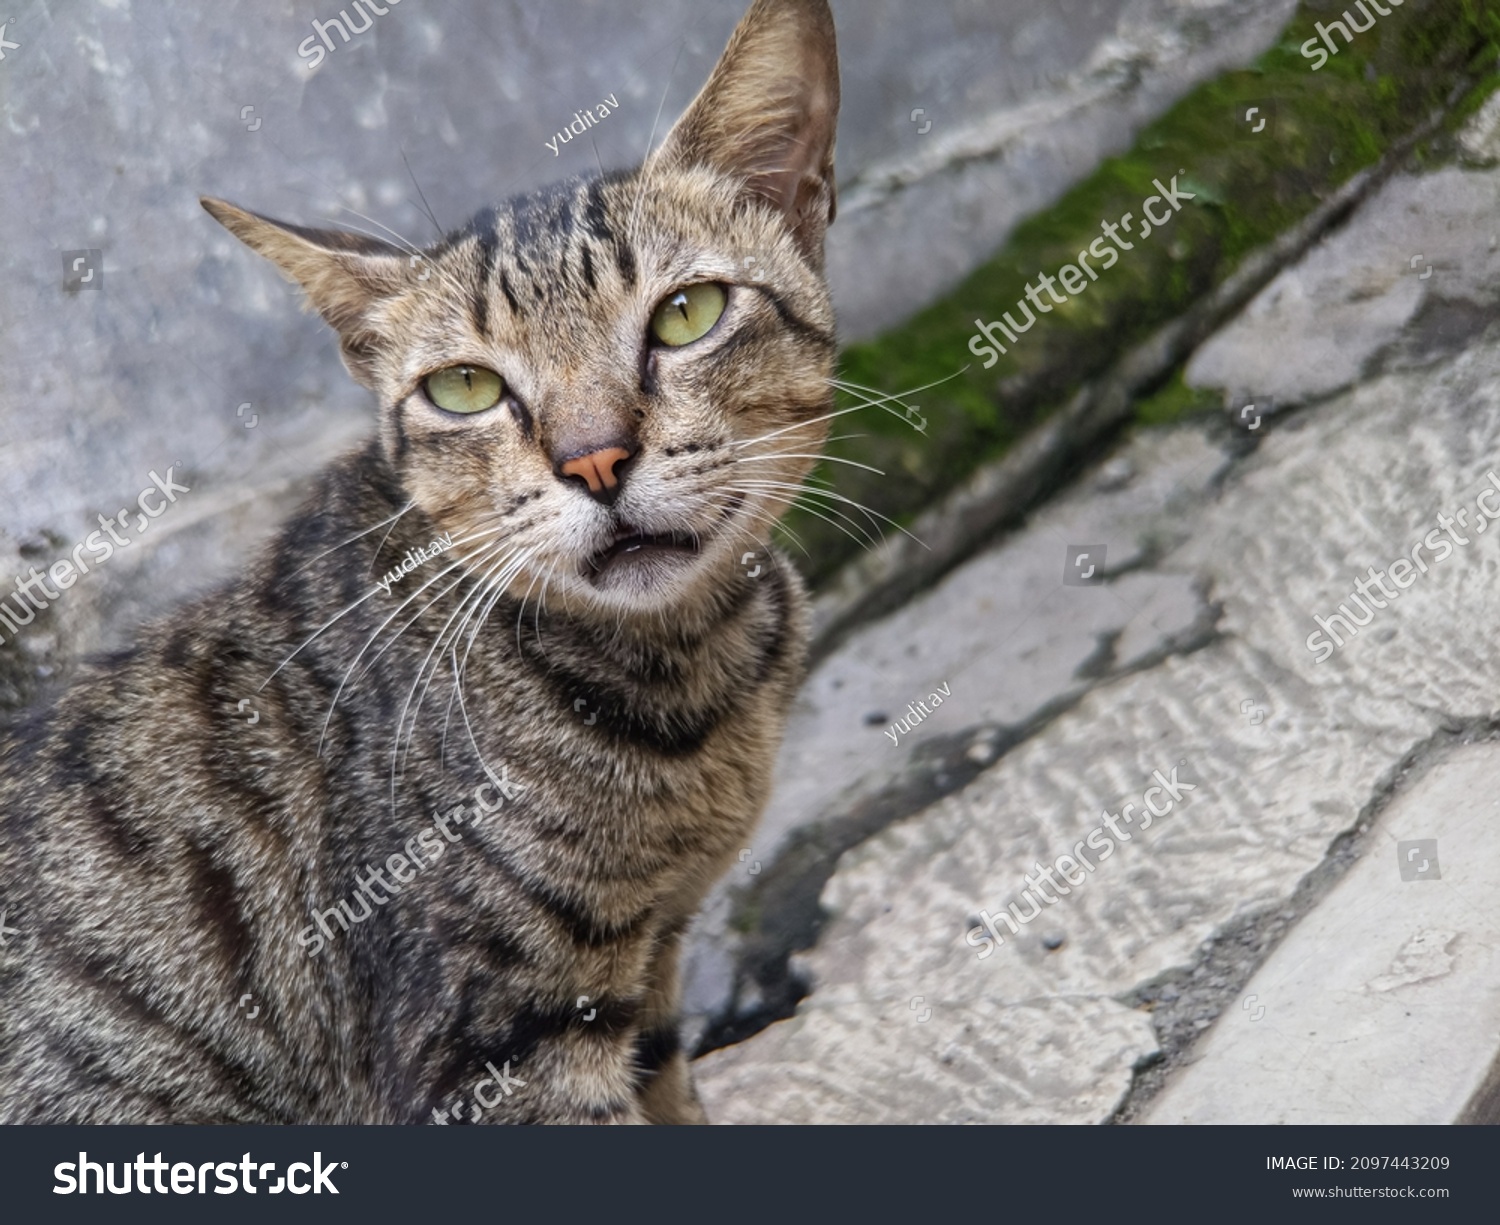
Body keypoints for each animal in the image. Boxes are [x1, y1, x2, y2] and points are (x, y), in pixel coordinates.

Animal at [0, 0, 840, 1121]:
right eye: (465, 388)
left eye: (687, 314)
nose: (595, 458)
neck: (684, 674)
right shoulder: (503, 1049)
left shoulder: (645, 985)